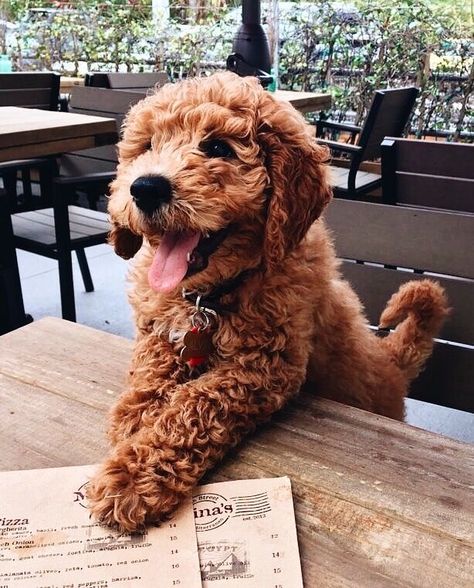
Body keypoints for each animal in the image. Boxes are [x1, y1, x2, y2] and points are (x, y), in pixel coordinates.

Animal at [86, 71, 448, 532]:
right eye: (147, 145)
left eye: (218, 148)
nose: (145, 188)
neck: (209, 295)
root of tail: (390, 360)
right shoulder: (159, 329)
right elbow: (151, 368)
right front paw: (134, 417)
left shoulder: (265, 368)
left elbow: (194, 405)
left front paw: (132, 478)